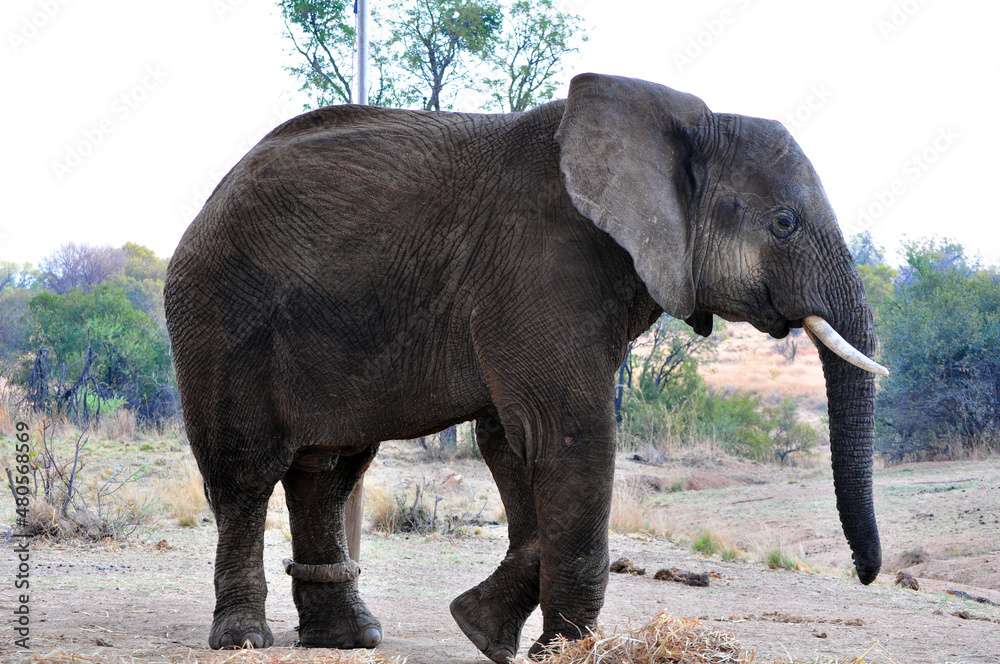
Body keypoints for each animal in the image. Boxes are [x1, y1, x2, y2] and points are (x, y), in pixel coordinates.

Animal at [164, 73, 887, 661]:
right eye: (785, 222)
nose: (867, 574)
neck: (682, 123)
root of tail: (209, 201)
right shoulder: (542, 264)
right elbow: (570, 435)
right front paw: (558, 651)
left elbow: (515, 444)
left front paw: (480, 630)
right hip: (221, 317)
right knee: (245, 472)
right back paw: (244, 639)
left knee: (330, 472)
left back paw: (349, 639)